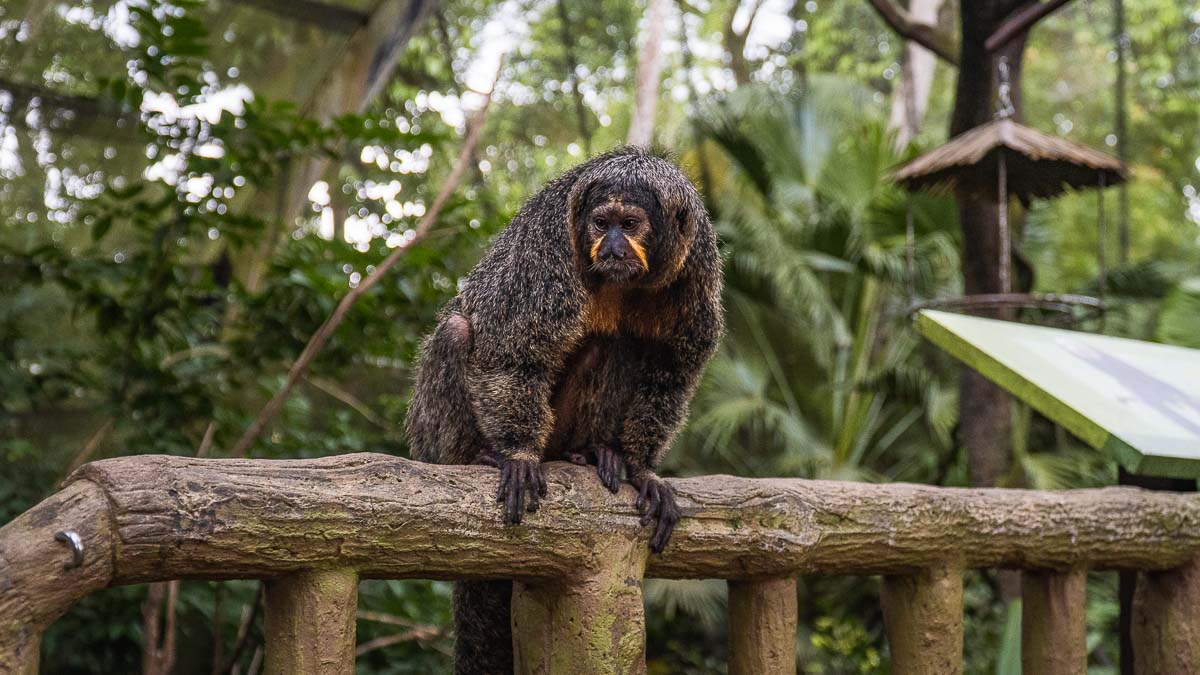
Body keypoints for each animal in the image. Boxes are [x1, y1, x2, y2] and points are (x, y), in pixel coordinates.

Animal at [403, 144, 720, 667]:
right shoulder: (548, 252)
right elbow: (511, 352)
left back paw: (588, 451)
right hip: (430, 437)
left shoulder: (696, 269)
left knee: (615, 342)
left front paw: (642, 469)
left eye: (628, 224)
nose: (611, 245)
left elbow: (672, 376)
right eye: (600, 223)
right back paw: (478, 456)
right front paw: (518, 455)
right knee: (457, 331)